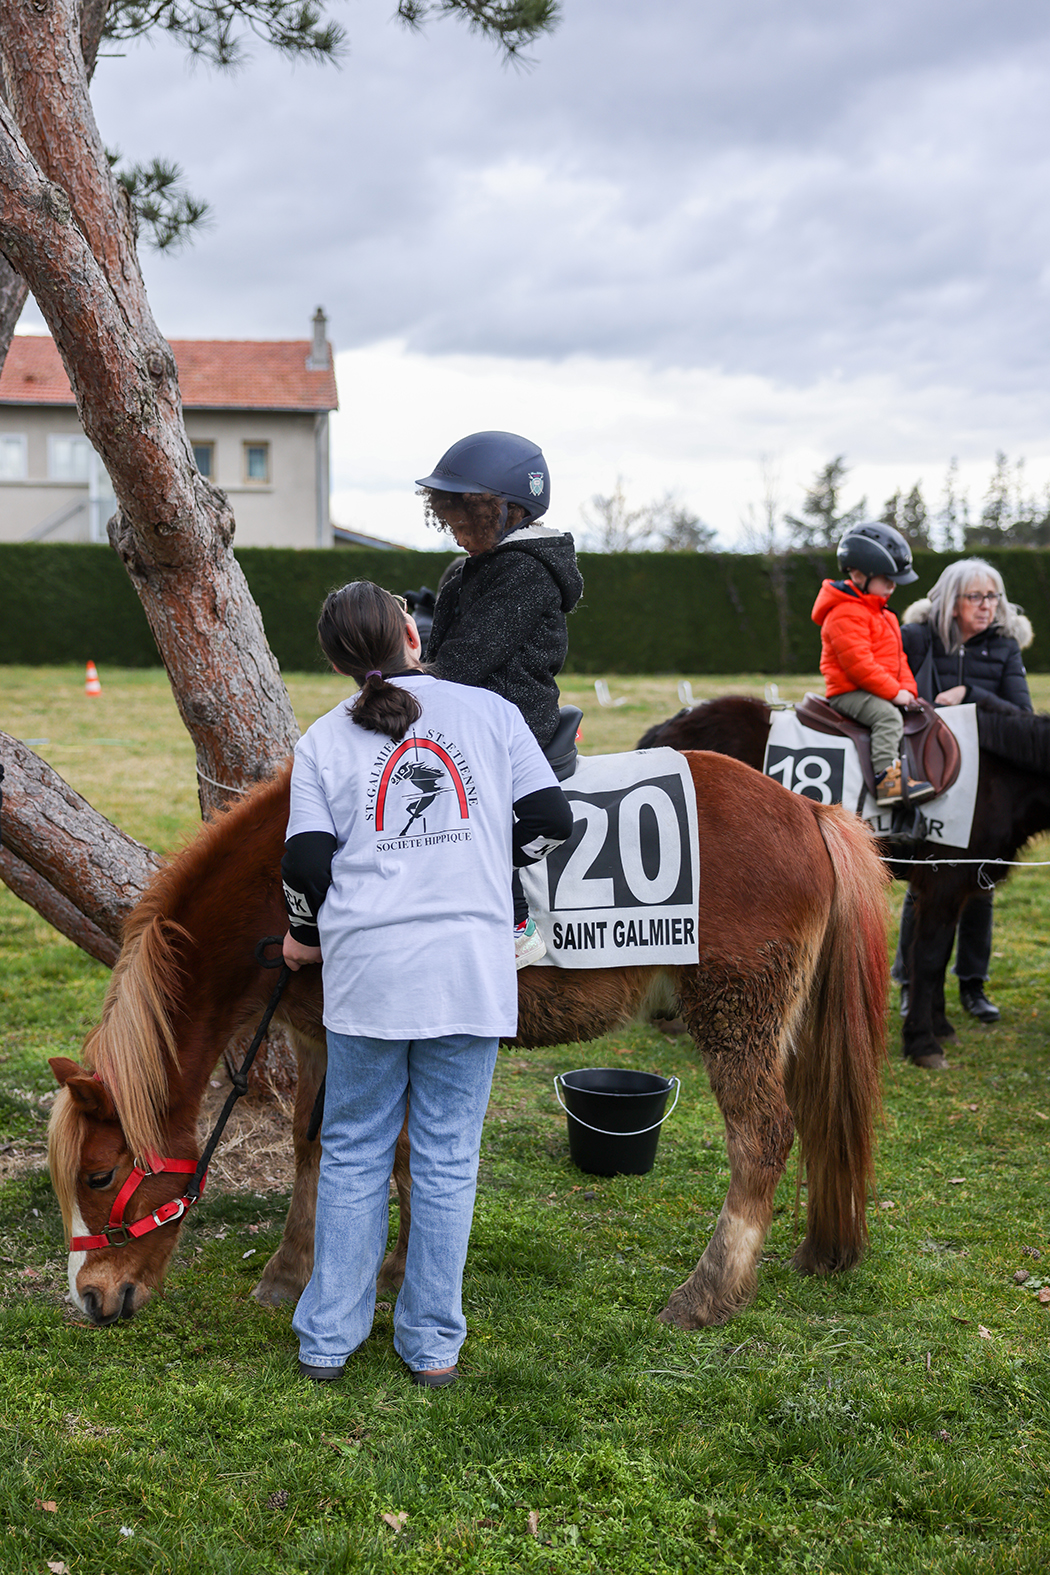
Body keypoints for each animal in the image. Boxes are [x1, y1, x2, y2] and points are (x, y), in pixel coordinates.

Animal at [47, 746, 887, 1329]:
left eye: (97, 1175)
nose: (90, 1296)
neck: (280, 885)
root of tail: (807, 810)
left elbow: (384, 1150)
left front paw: (367, 1271)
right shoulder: (324, 1036)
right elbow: (320, 1145)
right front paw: (311, 1269)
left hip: (734, 1011)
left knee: (762, 1137)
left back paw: (708, 1292)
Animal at [635, 696, 1050, 1064]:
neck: (990, 773)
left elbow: (939, 954)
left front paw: (939, 1025)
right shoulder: (944, 882)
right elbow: (929, 958)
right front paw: (922, 1041)